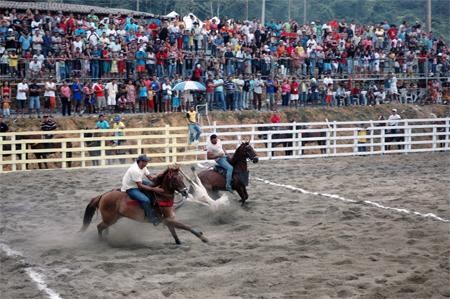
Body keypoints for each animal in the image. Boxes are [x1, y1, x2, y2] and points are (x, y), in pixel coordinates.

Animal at [80, 166, 208, 246]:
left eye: (181, 177)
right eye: (175, 178)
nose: (185, 191)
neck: (161, 196)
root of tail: (103, 195)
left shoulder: (169, 219)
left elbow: (174, 232)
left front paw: (179, 242)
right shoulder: (167, 219)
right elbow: (186, 226)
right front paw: (203, 238)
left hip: (112, 219)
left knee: (104, 227)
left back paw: (107, 239)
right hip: (110, 219)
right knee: (99, 227)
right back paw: (102, 242)